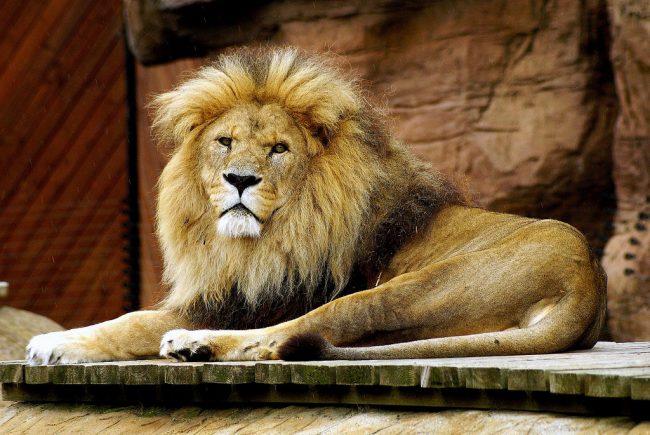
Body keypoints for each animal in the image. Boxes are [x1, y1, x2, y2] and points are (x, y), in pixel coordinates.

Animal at [26, 47, 606, 364]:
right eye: (224, 142)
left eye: (279, 149)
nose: (240, 180)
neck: (263, 241)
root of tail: (586, 285)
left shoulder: (262, 297)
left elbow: (135, 321)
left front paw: (52, 343)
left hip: (407, 289)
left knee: (296, 333)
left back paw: (194, 343)